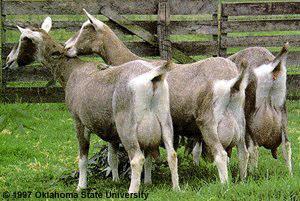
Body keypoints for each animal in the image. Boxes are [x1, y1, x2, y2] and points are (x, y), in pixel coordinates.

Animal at [5, 16, 178, 193]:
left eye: (22, 39)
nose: (8, 60)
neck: (71, 70)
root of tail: (152, 77)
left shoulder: (79, 121)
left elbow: (83, 158)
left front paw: (81, 186)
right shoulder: (110, 128)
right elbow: (112, 157)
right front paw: (116, 180)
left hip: (127, 125)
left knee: (137, 158)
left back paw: (132, 191)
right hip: (164, 120)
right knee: (171, 154)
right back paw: (176, 189)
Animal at [63, 10, 248, 184]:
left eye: (86, 28)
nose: (66, 47)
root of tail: (234, 77)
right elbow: (149, 154)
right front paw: (148, 180)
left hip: (209, 120)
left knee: (221, 154)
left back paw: (225, 185)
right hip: (239, 119)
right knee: (243, 153)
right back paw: (243, 179)